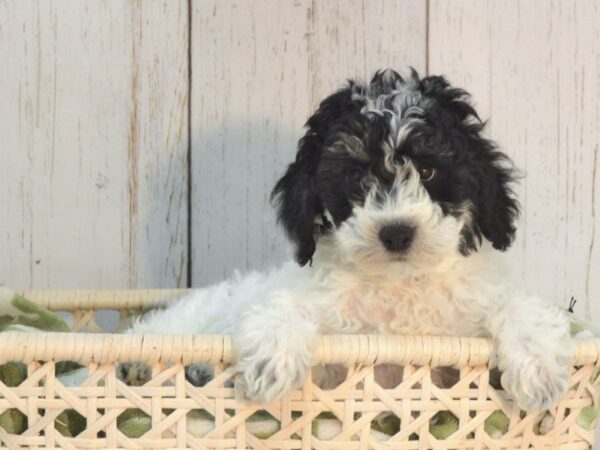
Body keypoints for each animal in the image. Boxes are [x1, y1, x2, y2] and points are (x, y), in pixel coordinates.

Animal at [126, 69, 572, 412]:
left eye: (427, 171)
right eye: (357, 175)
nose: (396, 232)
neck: (398, 285)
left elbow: (516, 304)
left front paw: (539, 368)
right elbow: (288, 304)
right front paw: (271, 357)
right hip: (191, 317)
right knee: (155, 331)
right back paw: (141, 365)